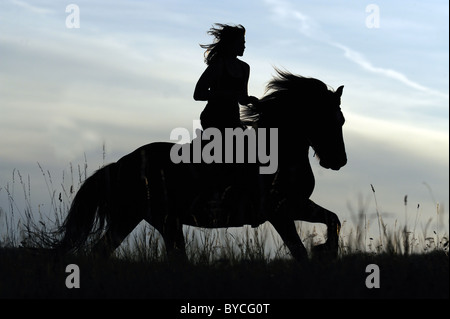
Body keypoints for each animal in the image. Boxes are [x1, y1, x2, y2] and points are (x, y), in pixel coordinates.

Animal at [55, 70, 344, 262]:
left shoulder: (296, 205)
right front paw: (323, 250)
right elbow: (302, 249)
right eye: (328, 119)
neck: (279, 151)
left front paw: (325, 249)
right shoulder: (281, 211)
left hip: (146, 219)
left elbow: (333, 219)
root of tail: (120, 165)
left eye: (340, 120)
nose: (339, 161)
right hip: (151, 219)